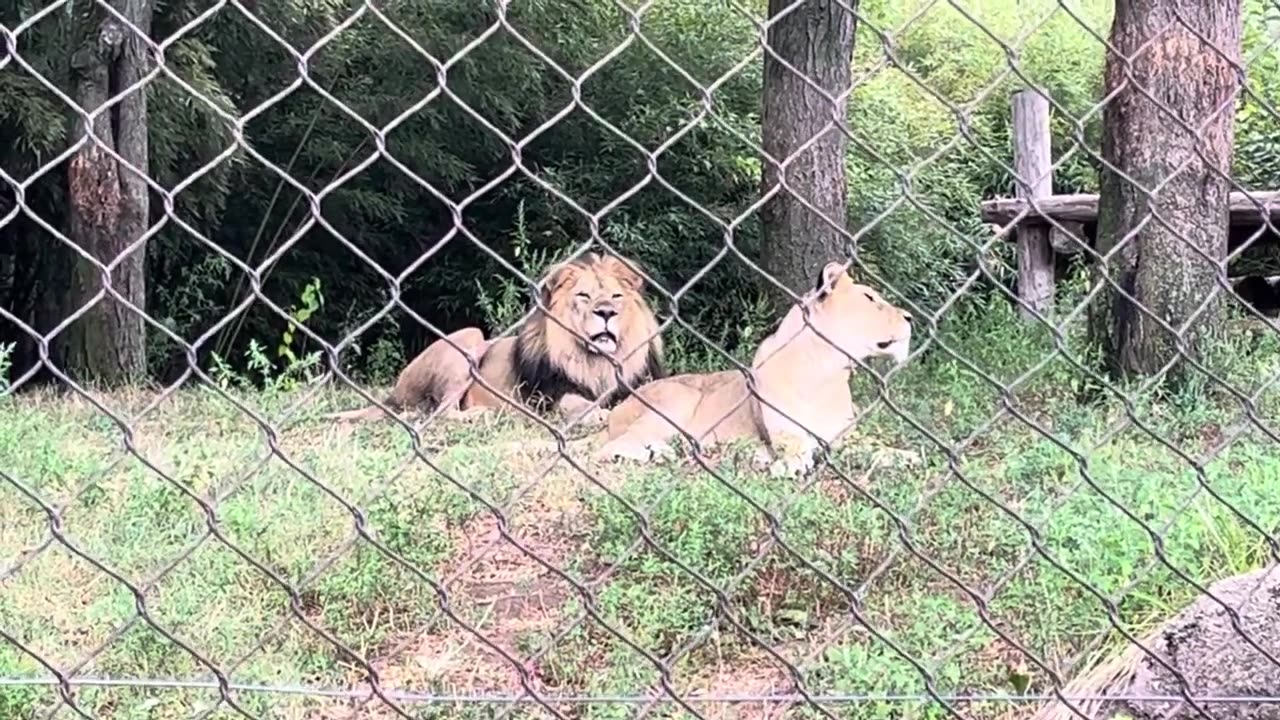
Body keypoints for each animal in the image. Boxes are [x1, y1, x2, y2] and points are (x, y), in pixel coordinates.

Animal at [326, 251, 666, 424]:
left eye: (616, 296)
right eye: (584, 296)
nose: (606, 312)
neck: (595, 361)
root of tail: (393, 394)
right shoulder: (544, 397)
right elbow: (574, 402)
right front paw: (594, 413)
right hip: (468, 338)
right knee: (439, 414)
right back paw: (482, 414)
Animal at [594, 260, 914, 477]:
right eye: (870, 298)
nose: (911, 317)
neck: (829, 372)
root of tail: (620, 406)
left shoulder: (845, 436)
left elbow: (875, 446)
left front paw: (905, 455)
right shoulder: (788, 433)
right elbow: (796, 448)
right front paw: (788, 464)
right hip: (675, 401)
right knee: (608, 448)